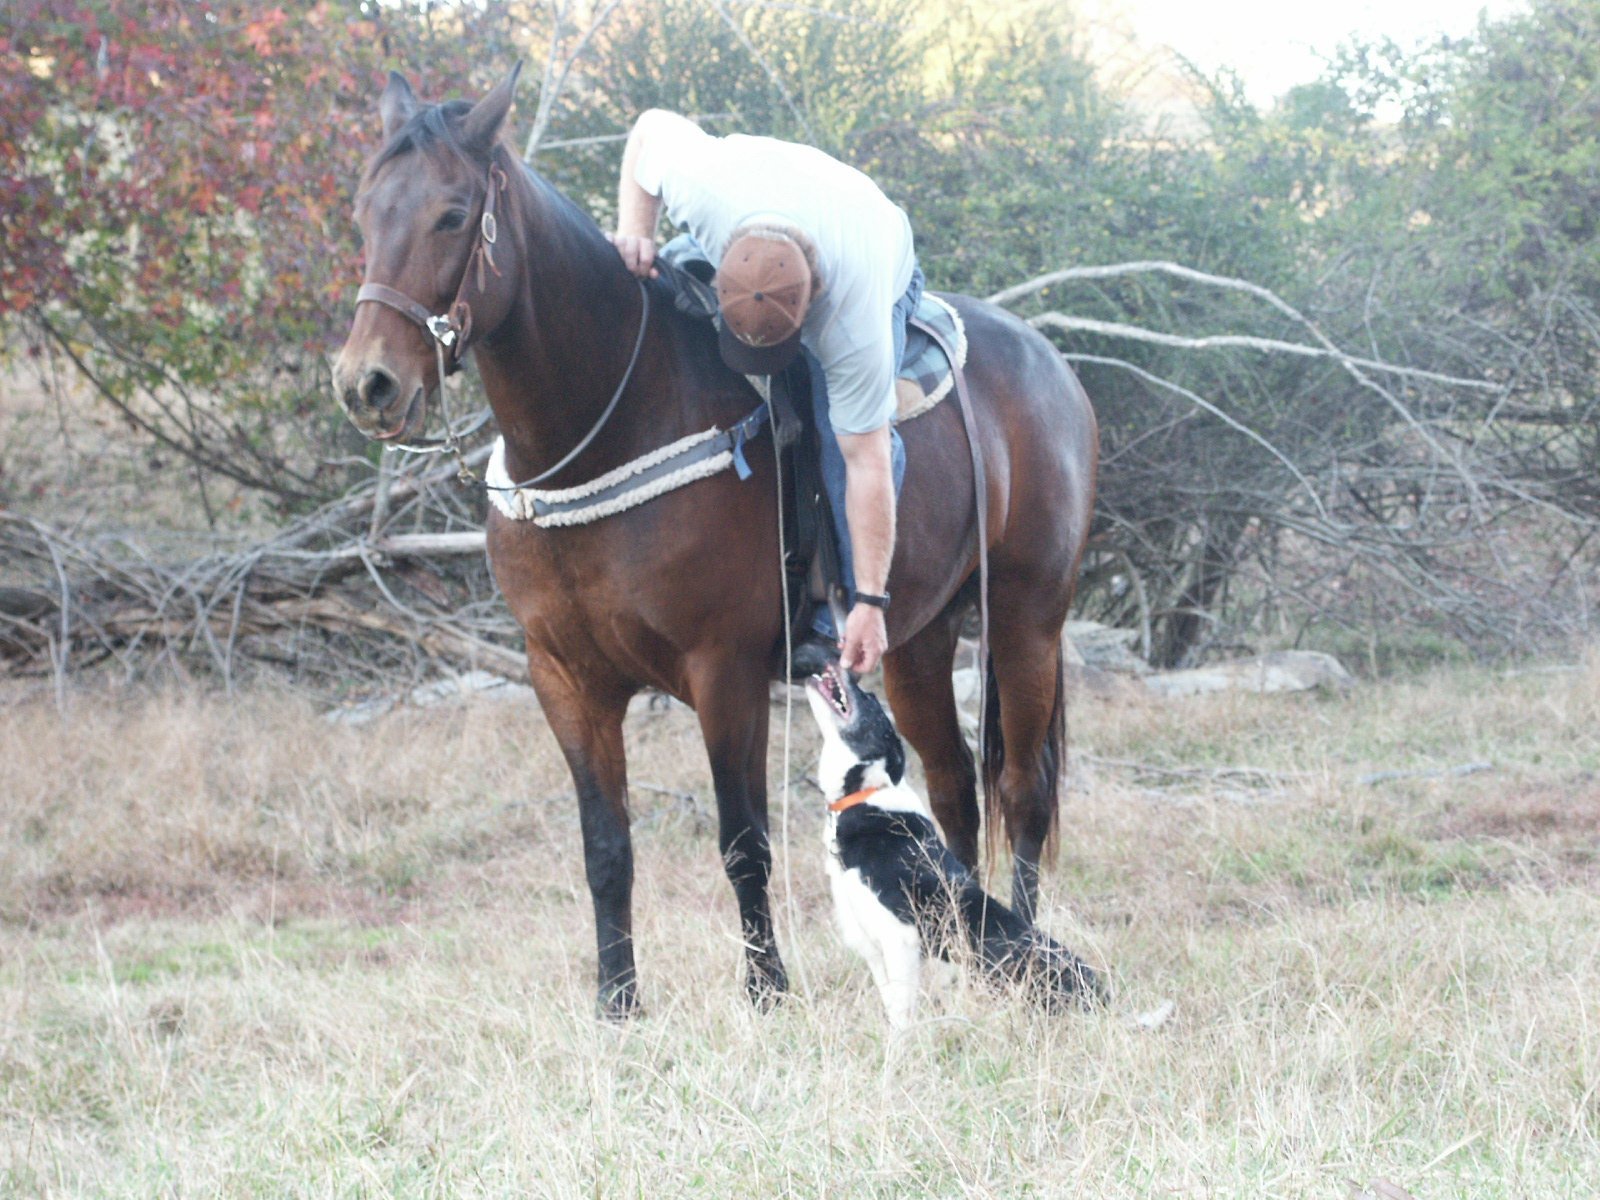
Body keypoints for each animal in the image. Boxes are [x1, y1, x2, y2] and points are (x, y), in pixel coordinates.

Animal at [806, 662, 1107, 1030]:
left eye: (870, 698)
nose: (843, 665)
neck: (866, 794)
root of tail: (1103, 997)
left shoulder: (900, 938)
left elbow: (902, 1016)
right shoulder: (872, 946)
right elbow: (891, 1005)